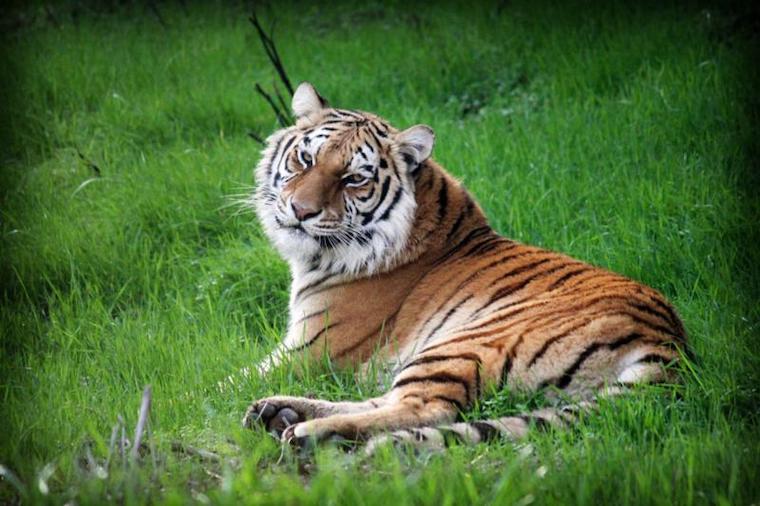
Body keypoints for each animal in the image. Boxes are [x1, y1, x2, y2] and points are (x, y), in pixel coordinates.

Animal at [242, 82, 688, 452]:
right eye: (305, 159)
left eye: (354, 179)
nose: (301, 211)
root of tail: (671, 345)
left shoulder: (308, 351)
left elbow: (231, 377)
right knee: (385, 399)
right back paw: (278, 412)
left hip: (462, 342)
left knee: (423, 408)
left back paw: (307, 431)